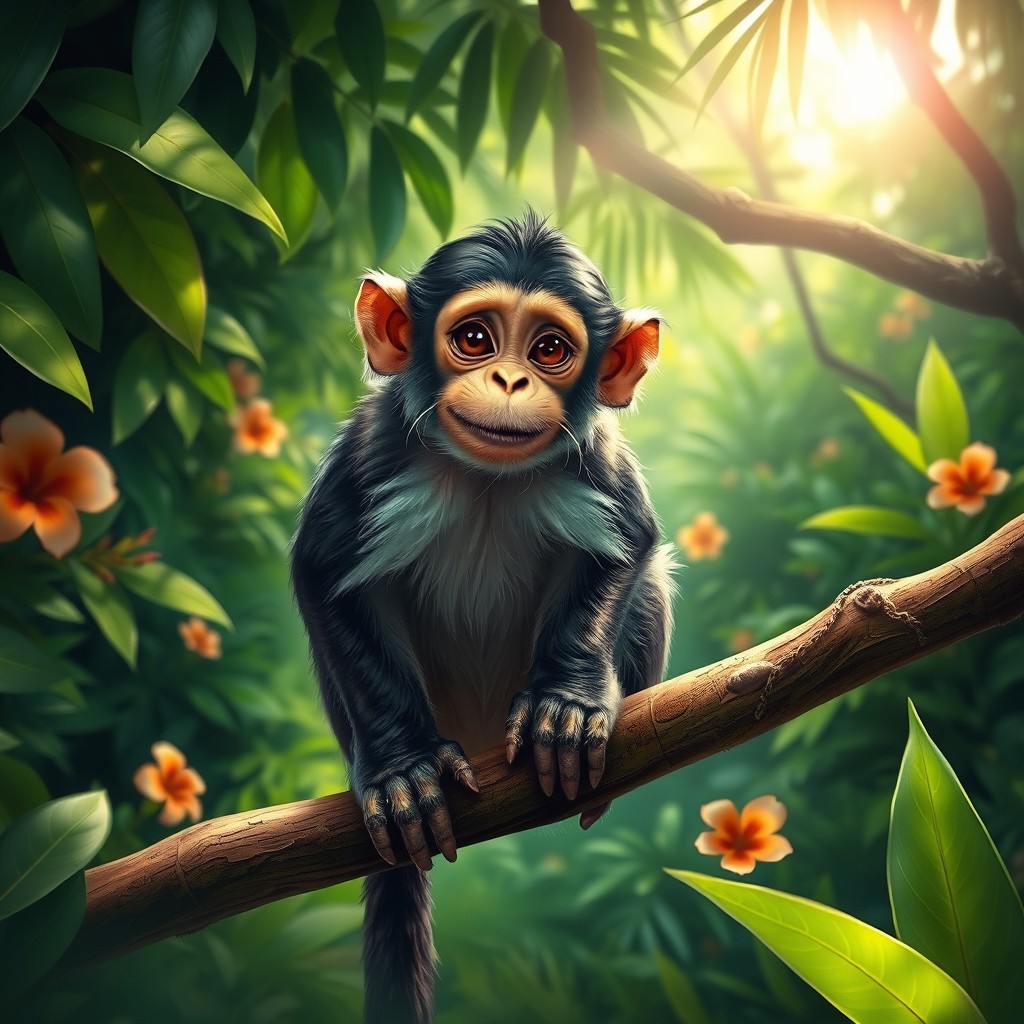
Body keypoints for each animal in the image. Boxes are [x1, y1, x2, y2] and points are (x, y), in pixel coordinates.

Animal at [290, 211, 673, 1024]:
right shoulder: (371, 449)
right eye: (473, 338)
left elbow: (630, 545)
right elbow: (324, 574)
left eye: (550, 350)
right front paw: (403, 770)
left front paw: (568, 706)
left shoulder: (597, 455)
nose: (509, 380)